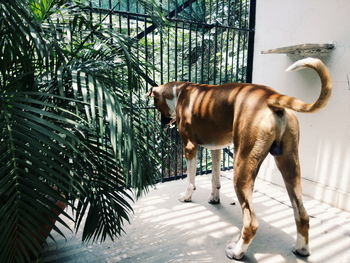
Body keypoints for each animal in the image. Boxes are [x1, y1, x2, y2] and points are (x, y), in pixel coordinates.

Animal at [149, 58, 332, 260]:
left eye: (156, 102)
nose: (162, 122)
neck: (180, 91)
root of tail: (270, 96)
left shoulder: (189, 148)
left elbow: (191, 180)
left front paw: (187, 196)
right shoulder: (216, 149)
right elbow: (215, 179)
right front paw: (214, 198)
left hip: (242, 167)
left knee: (251, 222)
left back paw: (237, 251)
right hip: (289, 166)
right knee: (302, 213)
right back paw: (302, 248)